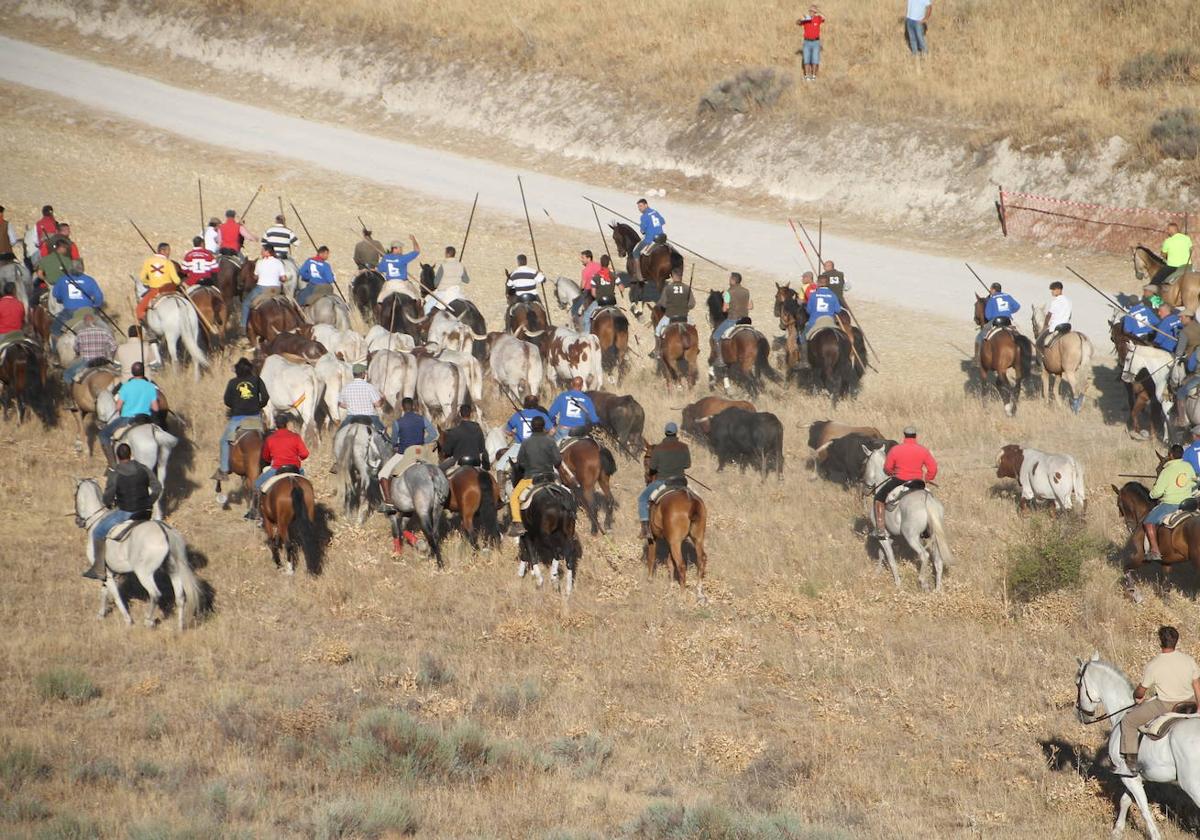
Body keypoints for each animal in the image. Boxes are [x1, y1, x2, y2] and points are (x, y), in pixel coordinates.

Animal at [72, 480, 201, 628]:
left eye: (74, 494)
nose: (78, 521)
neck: (97, 520)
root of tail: (163, 530)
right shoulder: (108, 573)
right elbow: (104, 592)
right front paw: (100, 614)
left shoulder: (107, 573)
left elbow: (116, 596)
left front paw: (127, 620)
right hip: (173, 569)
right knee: (180, 597)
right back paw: (180, 627)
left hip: (144, 573)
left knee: (155, 594)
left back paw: (148, 621)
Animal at [643, 444, 705, 600]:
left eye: (646, 460)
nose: (646, 478)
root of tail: (691, 501)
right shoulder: (670, 541)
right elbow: (669, 562)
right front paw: (670, 586)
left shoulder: (654, 537)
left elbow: (652, 557)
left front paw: (650, 579)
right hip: (697, 538)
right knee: (701, 560)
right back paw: (699, 591)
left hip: (676, 542)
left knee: (681, 565)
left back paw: (682, 596)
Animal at [859, 446, 950, 590]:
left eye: (864, 463)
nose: (863, 489)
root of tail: (927, 501)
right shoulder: (888, 537)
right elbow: (881, 554)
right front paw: (877, 573)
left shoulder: (884, 536)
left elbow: (890, 559)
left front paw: (897, 583)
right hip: (934, 536)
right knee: (938, 560)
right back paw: (937, 589)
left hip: (911, 536)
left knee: (924, 555)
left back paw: (923, 581)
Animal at [1075, 657, 1200, 840]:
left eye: (1078, 683)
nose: (1081, 715)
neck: (1121, 715)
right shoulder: (1133, 776)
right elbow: (1126, 800)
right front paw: (1117, 830)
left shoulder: (1128, 776)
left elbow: (1143, 807)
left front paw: (1154, 835)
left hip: (1192, 784)